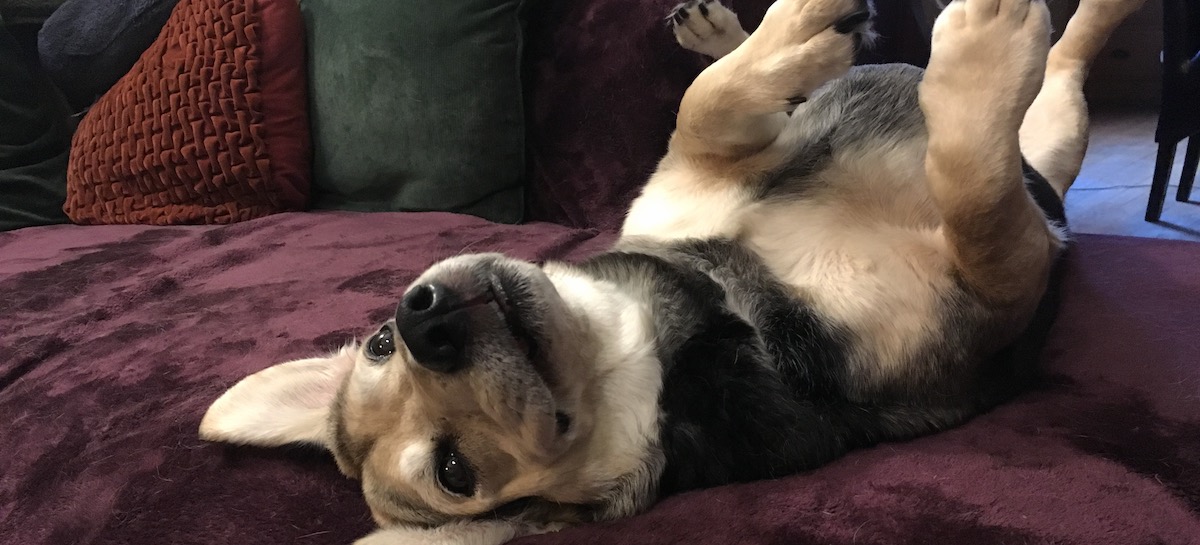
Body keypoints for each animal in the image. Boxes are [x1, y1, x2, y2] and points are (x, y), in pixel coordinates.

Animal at [196, 1, 1142, 540]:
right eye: (453, 472)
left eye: (380, 343)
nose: (423, 314)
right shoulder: (989, 300)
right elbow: (977, 197)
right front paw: (980, 54)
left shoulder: (690, 171)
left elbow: (704, 106)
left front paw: (784, 36)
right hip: (1050, 156)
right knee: (1057, 78)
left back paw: (733, 33)